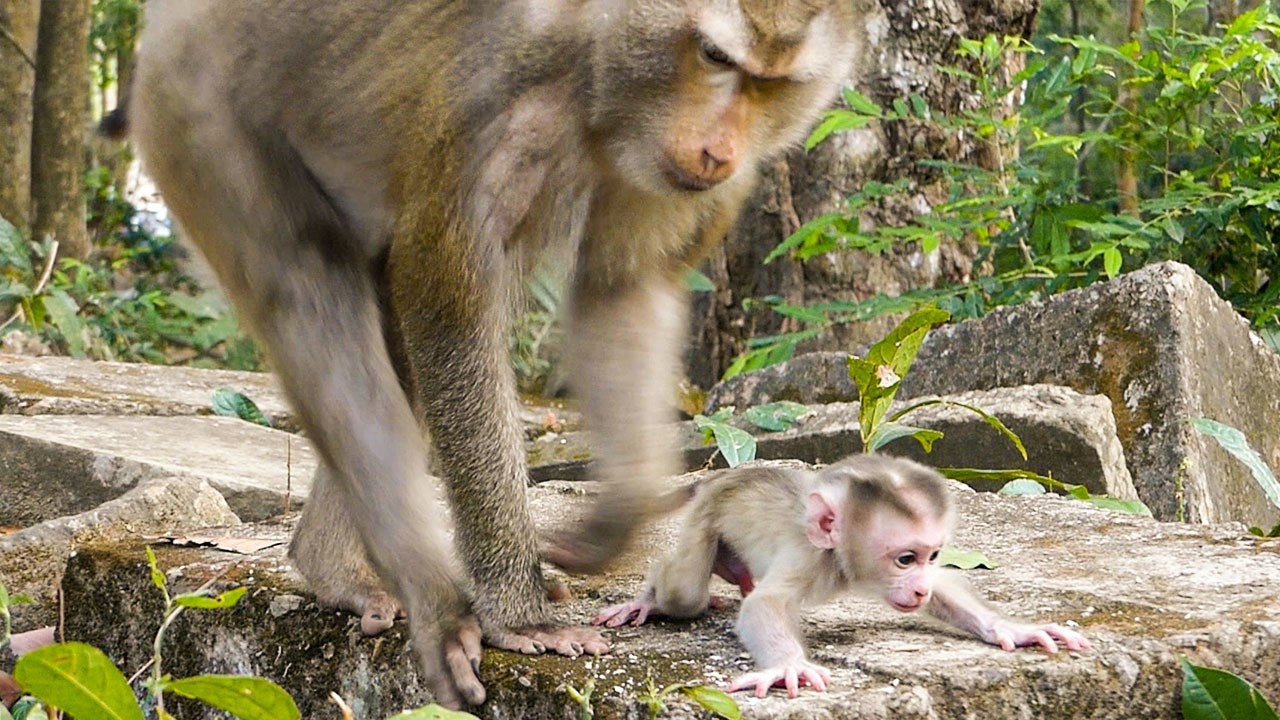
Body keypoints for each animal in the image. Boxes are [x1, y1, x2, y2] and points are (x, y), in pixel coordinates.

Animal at [119, 0, 864, 707]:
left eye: (774, 84)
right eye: (714, 56)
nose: (720, 151)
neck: (597, 75)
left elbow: (623, 293)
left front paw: (608, 526)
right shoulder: (499, 105)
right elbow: (447, 304)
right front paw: (518, 614)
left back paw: (335, 568)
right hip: (195, 113)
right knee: (308, 290)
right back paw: (426, 594)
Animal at [594, 455, 1092, 698]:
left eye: (931, 556)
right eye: (905, 559)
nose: (918, 586)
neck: (841, 560)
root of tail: (721, 476)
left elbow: (947, 587)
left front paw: (1012, 629)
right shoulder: (808, 556)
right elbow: (766, 606)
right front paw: (789, 666)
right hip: (704, 518)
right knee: (685, 591)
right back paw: (652, 598)